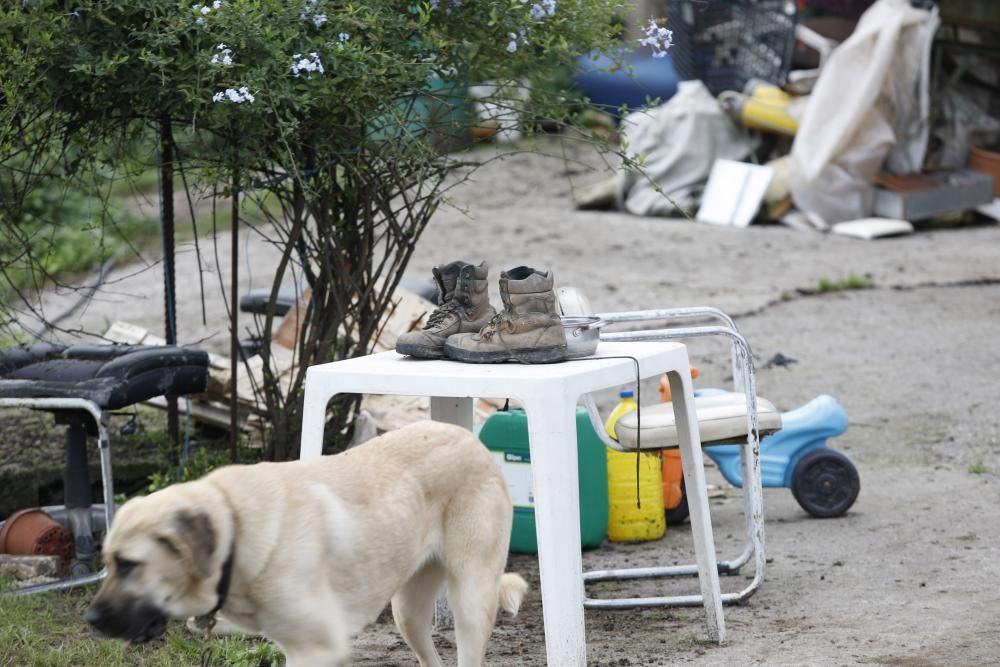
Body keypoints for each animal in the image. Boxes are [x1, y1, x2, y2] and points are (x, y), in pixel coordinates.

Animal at [84, 422, 532, 667]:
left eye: (128, 564)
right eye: (108, 562)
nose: (90, 619)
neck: (236, 526)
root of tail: (472, 440)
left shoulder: (317, 649)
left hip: (471, 603)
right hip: (407, 611)